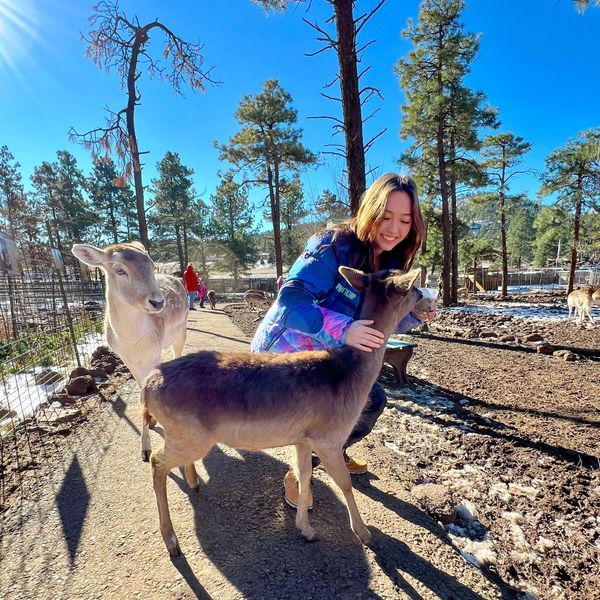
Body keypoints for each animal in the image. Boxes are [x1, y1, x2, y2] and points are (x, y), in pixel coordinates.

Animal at [71, 241, 188, 462]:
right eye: (119, 270)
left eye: (152, 266)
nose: (158, 302)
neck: (133, 342)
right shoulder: (127, 359)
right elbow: (142, 390)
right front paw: (148, 435)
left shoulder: (153, 353)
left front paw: (146, 447)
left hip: (181, 331)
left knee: (178, 353)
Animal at [141, 264, 422, 556]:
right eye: (411, 287)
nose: (424, 293)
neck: (351, 375)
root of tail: (147, 385)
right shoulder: (329, 437)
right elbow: (344, 481)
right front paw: (365, 534)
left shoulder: (303, 438)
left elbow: (304, 474)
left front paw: (306, 529)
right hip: (189, 433)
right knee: (157, 461)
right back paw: (171, 540)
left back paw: (194, 483)